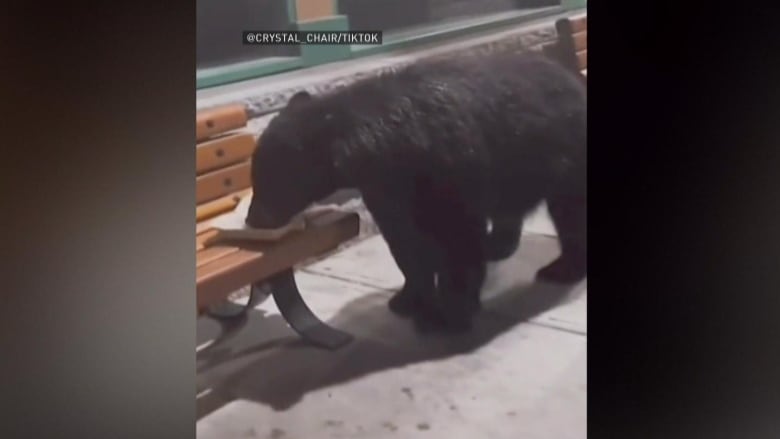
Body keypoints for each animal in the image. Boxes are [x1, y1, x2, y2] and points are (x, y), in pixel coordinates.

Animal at [245, 50, 584, 334]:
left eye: (270, 181)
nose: (252, 219)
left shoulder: (449, 168)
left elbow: (456, 238)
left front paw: (451, 311)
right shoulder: (385, 189)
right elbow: (405, 244)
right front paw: (408, 300)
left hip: (564, 153)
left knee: (569, 211)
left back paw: (560, 268)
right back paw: (499, 246)